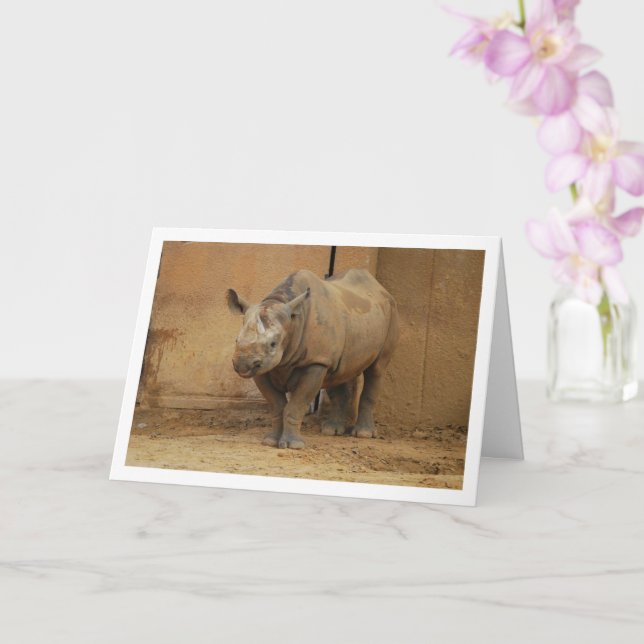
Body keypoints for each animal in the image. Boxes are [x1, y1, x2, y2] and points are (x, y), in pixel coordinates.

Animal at [226, 268, 399, 449]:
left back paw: (363, 434)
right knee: (337, 374)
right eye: (236, 340)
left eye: (273, 344)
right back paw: (331, 431)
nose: (242, 365)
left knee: (376, 370)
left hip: (391, 312)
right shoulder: (264, 367)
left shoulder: (315, 362)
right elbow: (277, 405)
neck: (292, 323)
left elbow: (295, 406)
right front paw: (270, 441)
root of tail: (379, 287)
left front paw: (294, 445)